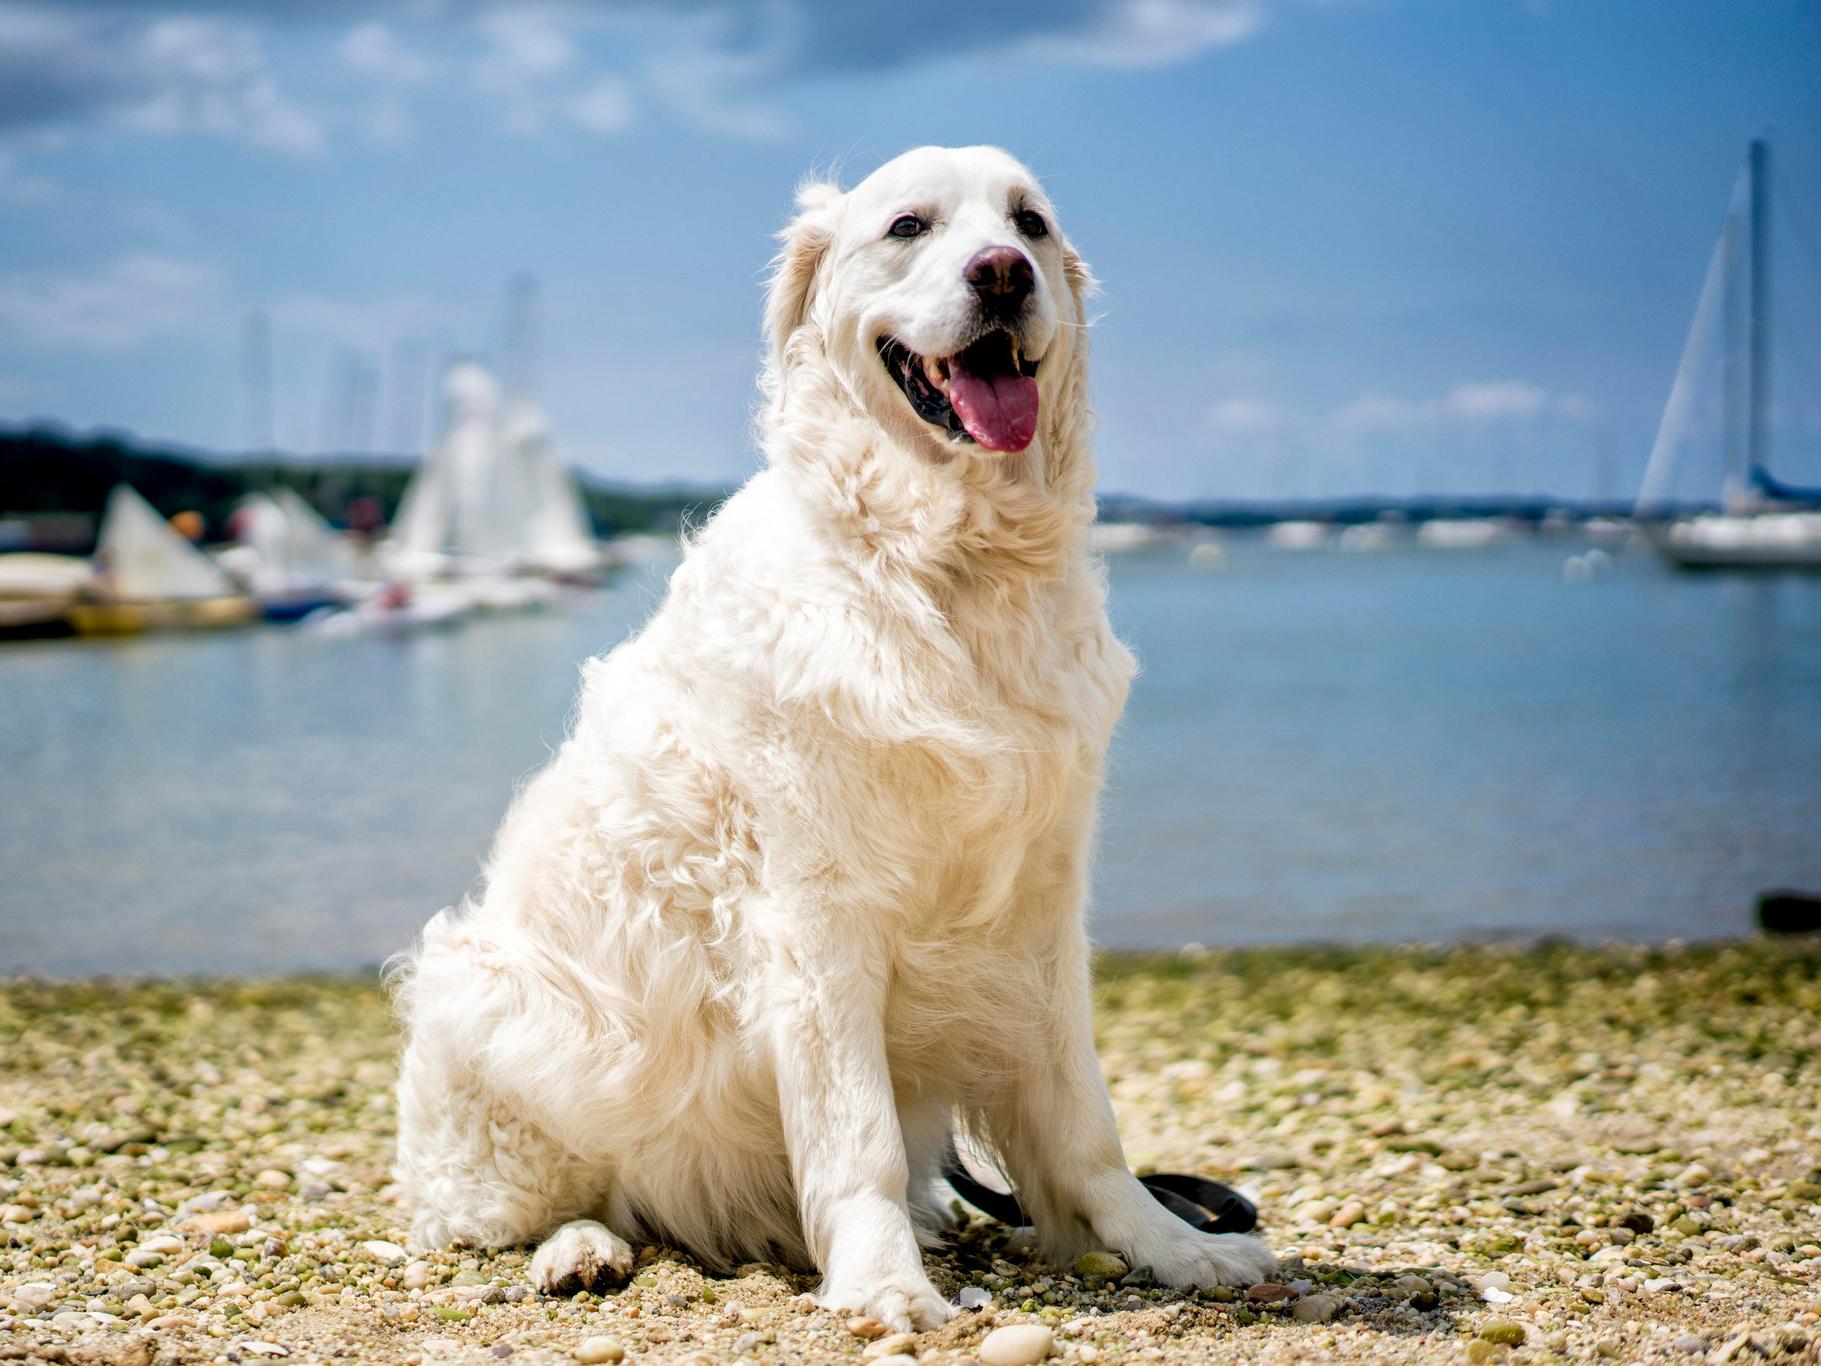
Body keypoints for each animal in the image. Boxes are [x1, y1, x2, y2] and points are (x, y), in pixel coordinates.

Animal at [395, 144, 1281, 1333]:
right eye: (909, 227)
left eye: (1029, 225)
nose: (1002, 274)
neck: (943, 569)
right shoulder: (816, 921)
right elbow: (857, 1136)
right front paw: (883, 1286)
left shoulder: (1043, 907)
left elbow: (1084, 1126)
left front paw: (1171, 1246)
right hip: (487, 999)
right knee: (531, 1207)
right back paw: (581, 1250)